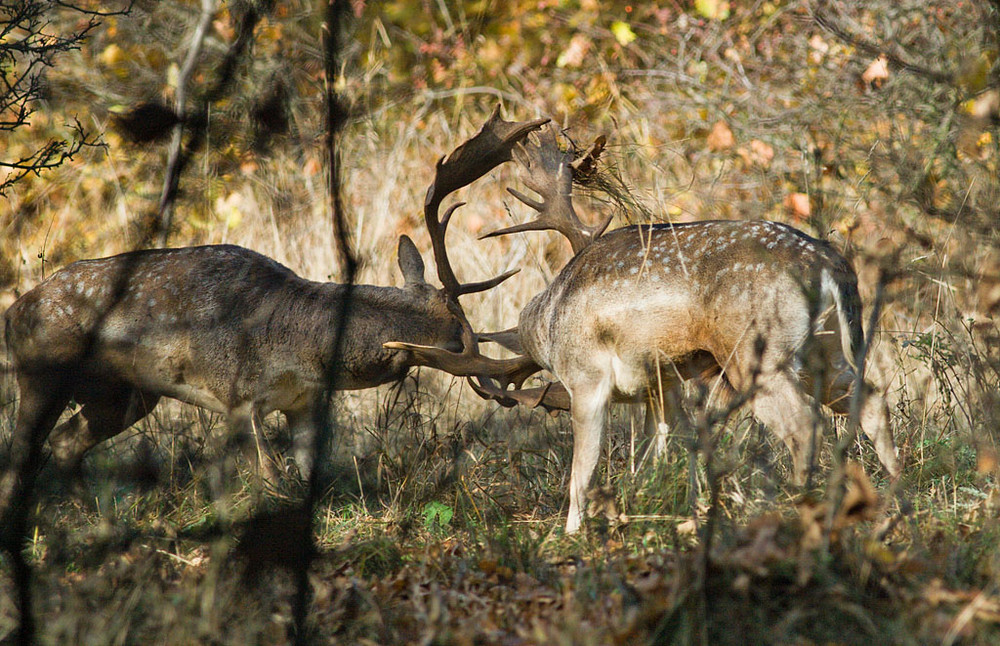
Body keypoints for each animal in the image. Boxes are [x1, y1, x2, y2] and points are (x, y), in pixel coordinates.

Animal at [0, 107, 548, 540]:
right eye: (459, 340)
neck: (299, 347)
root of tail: (14, 309)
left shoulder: (305, 402)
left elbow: (308, 478)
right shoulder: (237, 395)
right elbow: (269, 478)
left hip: (124, 394)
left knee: (66, 443)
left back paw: (103, 524)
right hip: (42, 372)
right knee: (21, 454)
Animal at [394, 126, 904, 536]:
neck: (548, 319)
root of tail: (828, 264)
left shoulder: (587, 377)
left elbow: (583, 471)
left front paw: (571, 534)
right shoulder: (664, 381)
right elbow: (675, 443)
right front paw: (683, 509)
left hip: (758, 352)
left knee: (804, 425)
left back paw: (799, 516)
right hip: (827, 351)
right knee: (872, 398)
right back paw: (898, 506)